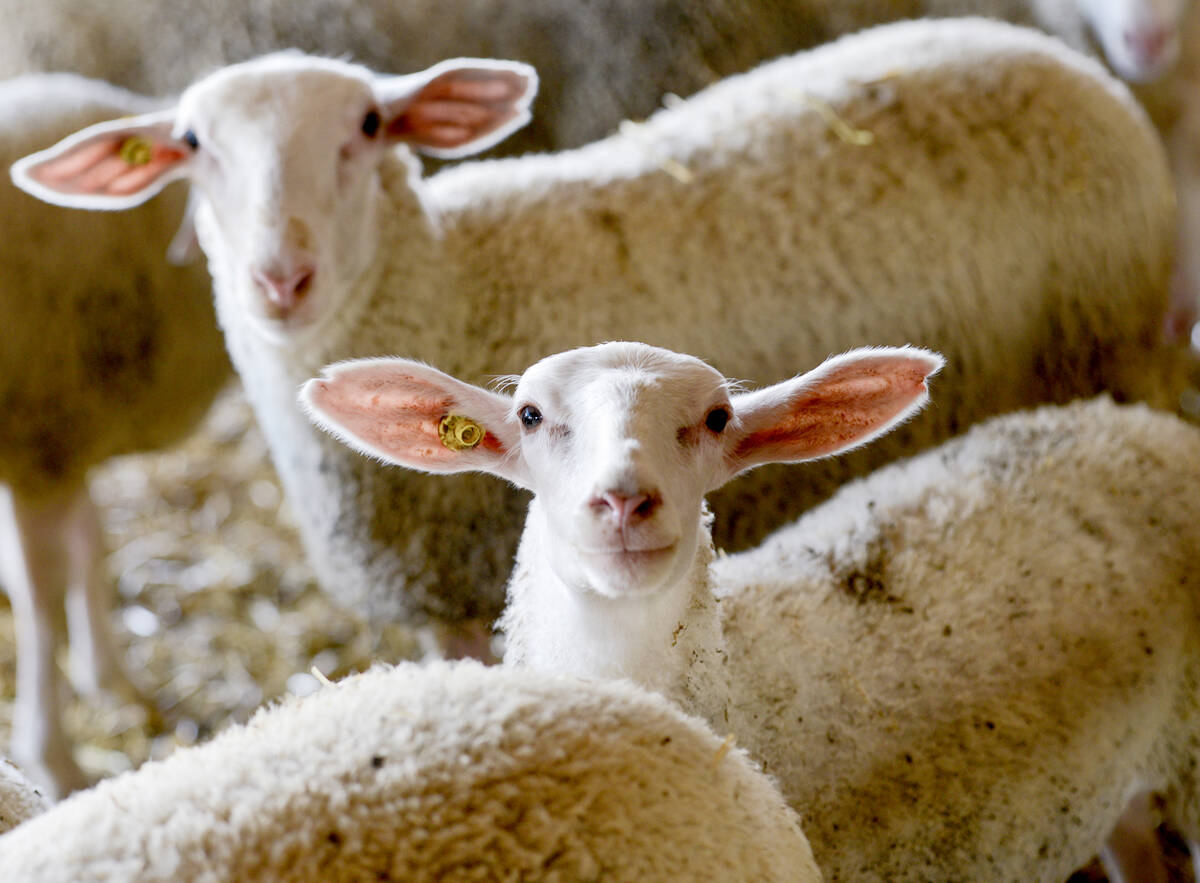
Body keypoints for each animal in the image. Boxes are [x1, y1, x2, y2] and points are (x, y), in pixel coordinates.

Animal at [0, 73, 232, 798]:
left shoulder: (70, 437)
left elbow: (90, 542)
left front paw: (109, 678)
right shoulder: (41, 444)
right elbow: (41, 597)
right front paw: (54, 757)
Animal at [12, 19, 1187, 647]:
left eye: (367, 128)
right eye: (191, 145)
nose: (279, 278)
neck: (442, 280)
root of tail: (1054, 55)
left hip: (1124, 352)